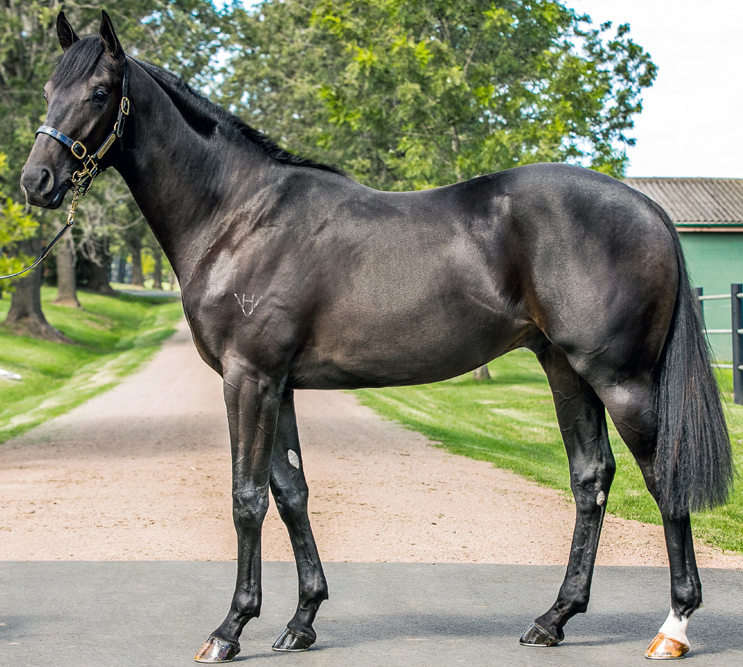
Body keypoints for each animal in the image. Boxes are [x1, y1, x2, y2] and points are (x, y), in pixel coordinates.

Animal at [20, 10, 736, 664]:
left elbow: (247, 498)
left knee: (663, 475)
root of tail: (646, 208)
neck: (238, 216)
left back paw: (673, 628)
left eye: (98, 93)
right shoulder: (278, 384)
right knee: (590, 478)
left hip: (619, 378)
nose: (36, 182)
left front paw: (230, 629)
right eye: (49, 89)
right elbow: (291, 492)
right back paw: (553, 619)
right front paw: (301, 622)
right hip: (565, 368)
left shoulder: (248, 378)